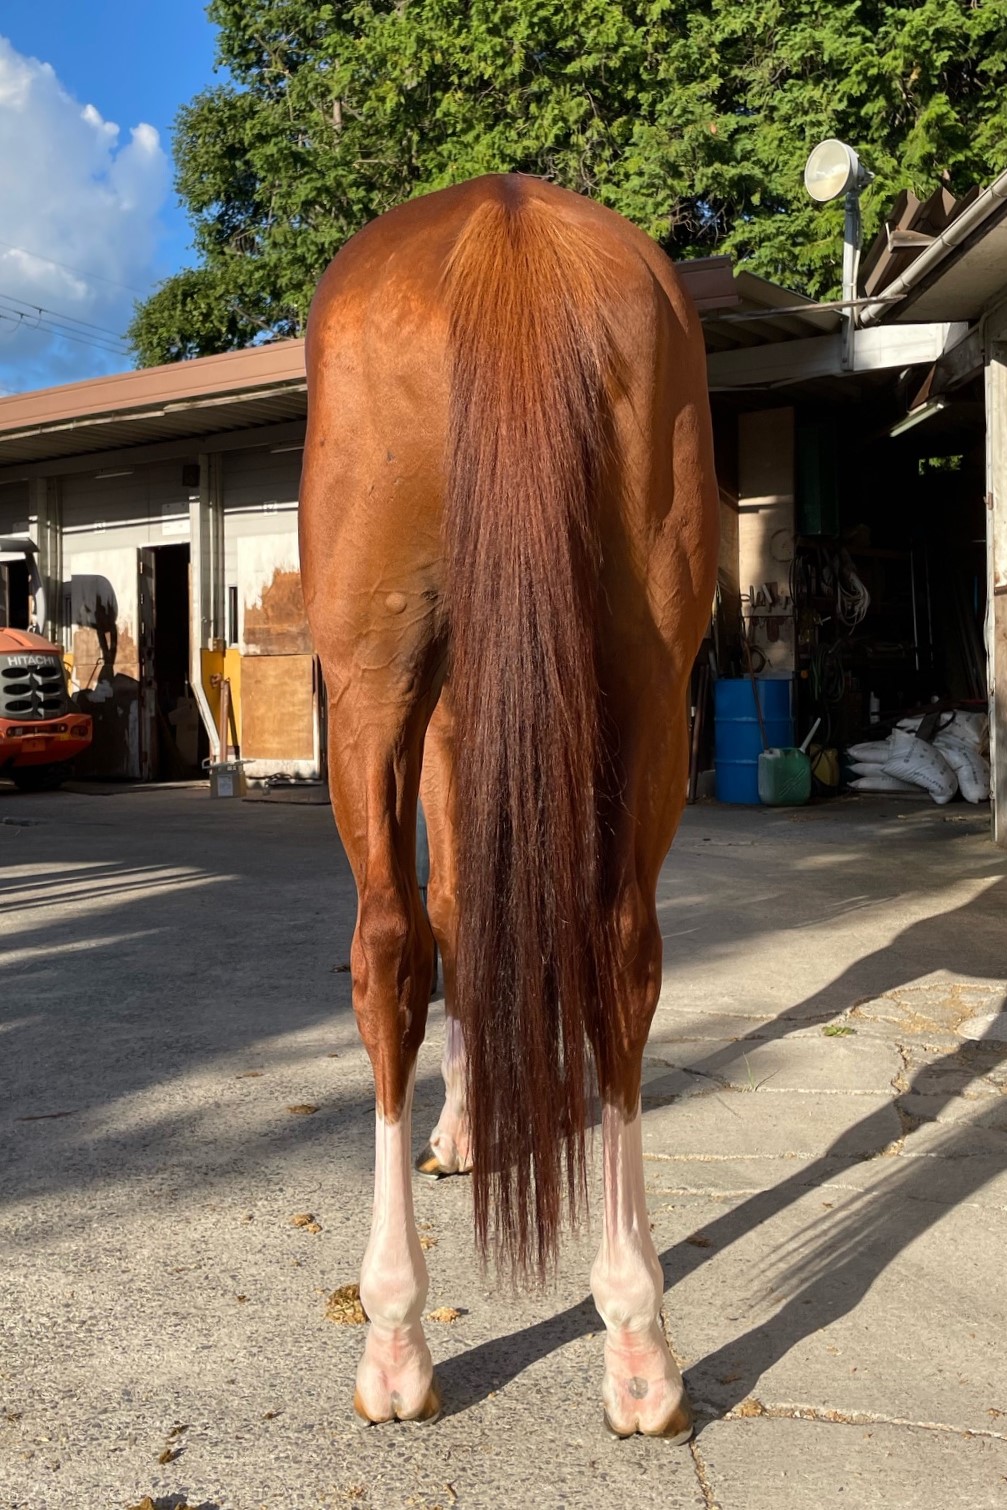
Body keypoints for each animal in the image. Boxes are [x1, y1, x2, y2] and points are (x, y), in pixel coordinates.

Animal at [299, 172, 718, 1438]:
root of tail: (507, 219)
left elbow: (445, 917)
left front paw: (461, 1127)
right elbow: (483, 919)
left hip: (373, 679)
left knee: (389, 947)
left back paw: (395, 1336)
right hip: (650, 673)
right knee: (620, 950)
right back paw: (638, 1344)